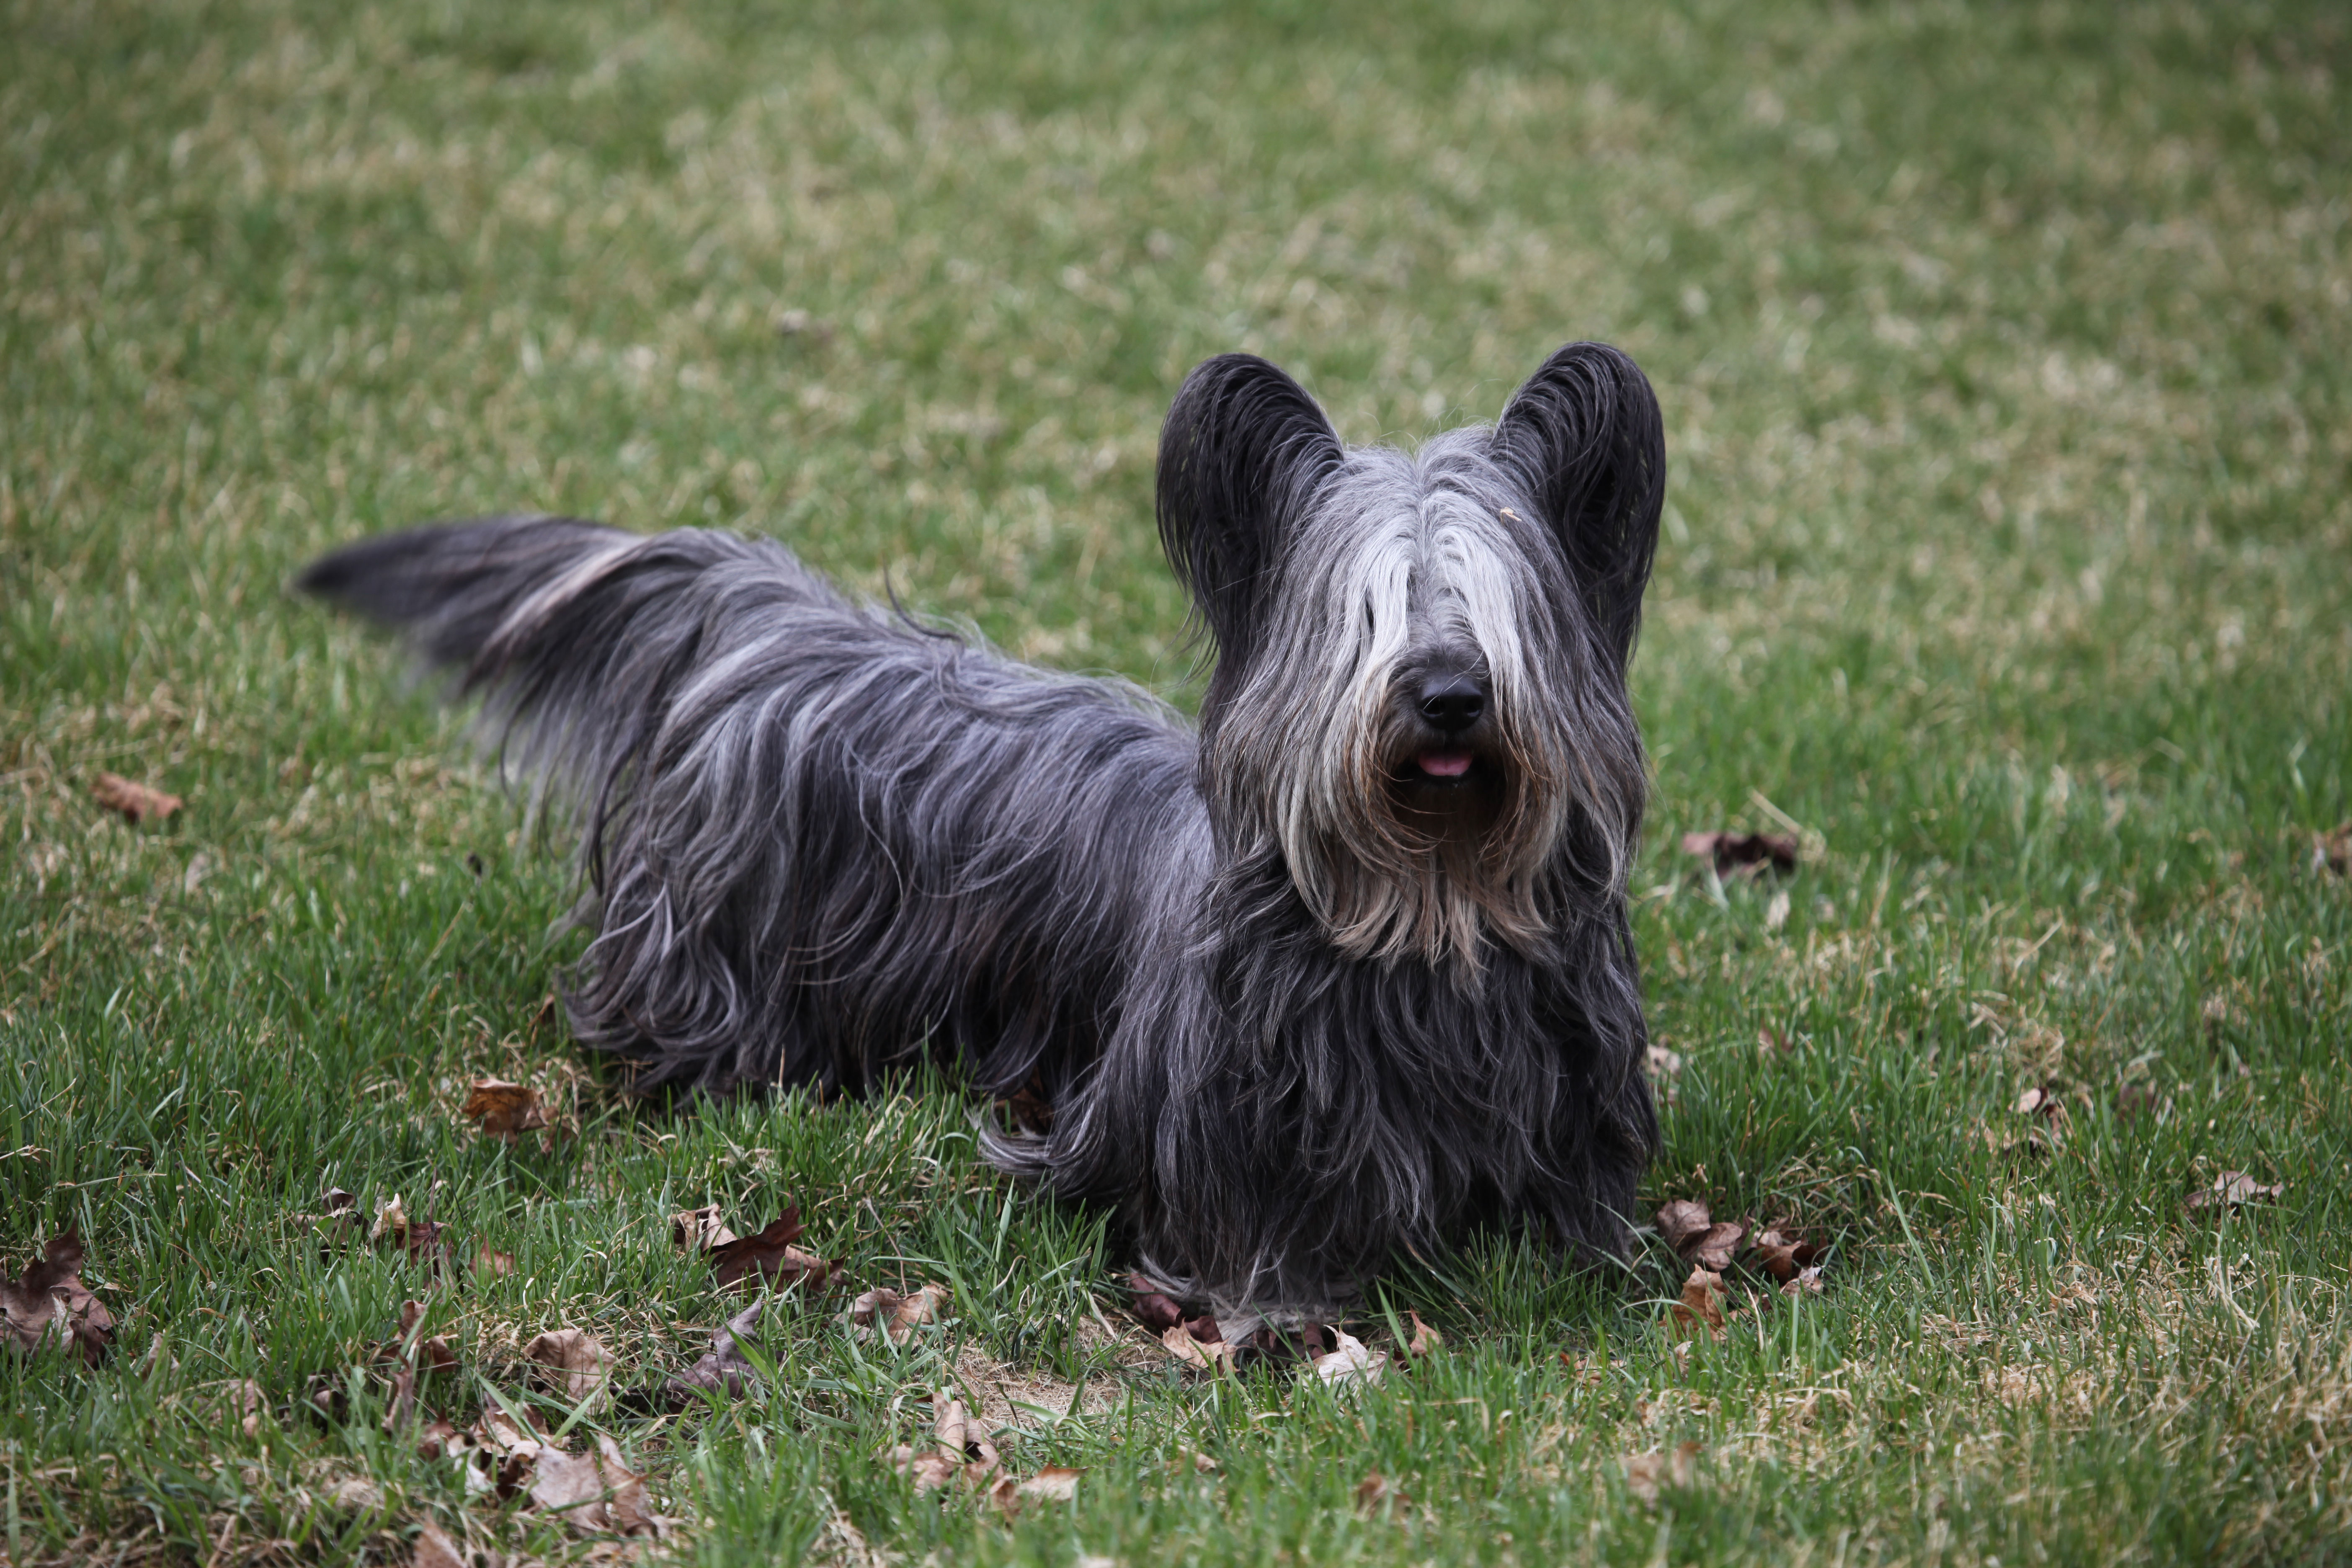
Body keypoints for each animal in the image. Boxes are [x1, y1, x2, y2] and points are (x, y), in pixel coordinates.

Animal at [308, 346, 1674, 1326]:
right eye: (1368, 612)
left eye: (1497, 605)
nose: (1447, 695)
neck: (1428, 913)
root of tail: (772, 617)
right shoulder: (1223, 1132)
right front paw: (1276, 1314)